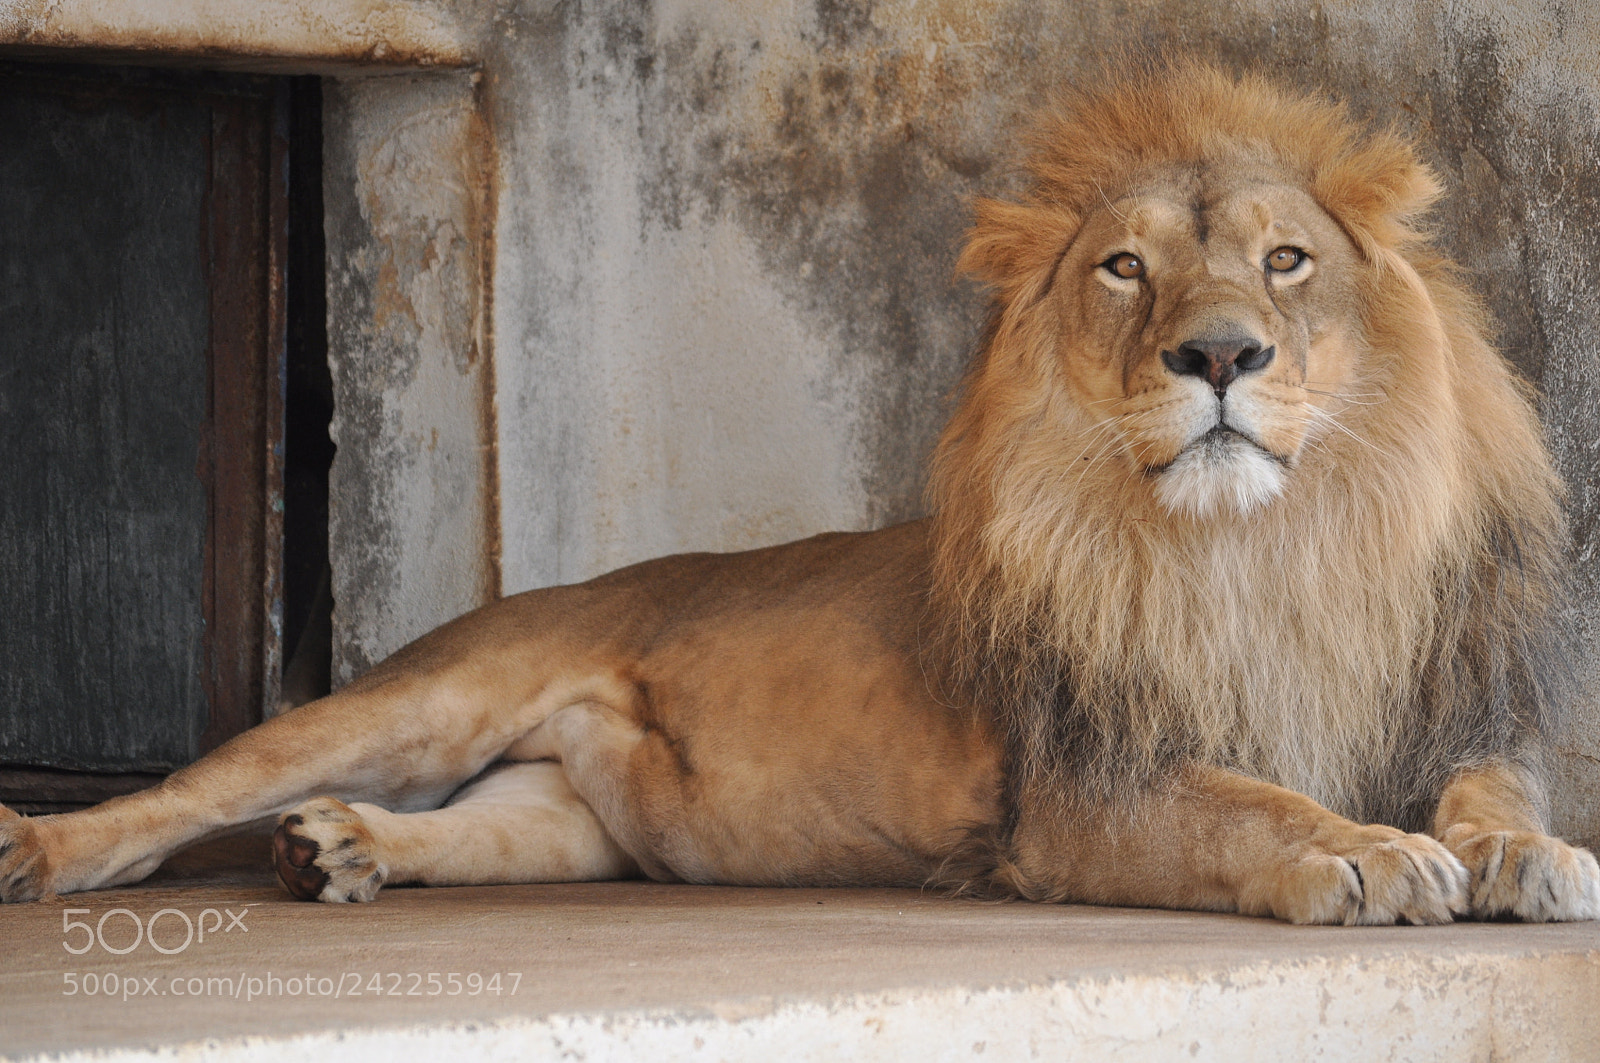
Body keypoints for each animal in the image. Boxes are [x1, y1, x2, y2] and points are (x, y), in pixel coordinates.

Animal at [2, 63, 1597, 924]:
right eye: (1124, 268)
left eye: (1285, 261)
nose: (1217, 353)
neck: (1271, 552)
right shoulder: (1081, 795)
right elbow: (1252, 802)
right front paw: (1368, 855)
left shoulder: (1456, 708)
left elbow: (1493, 788)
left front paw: (1522, 854)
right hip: (429, 694)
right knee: (181, 796)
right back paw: (42, 846)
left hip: (571, 820)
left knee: (480, 831)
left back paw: (341, 846)